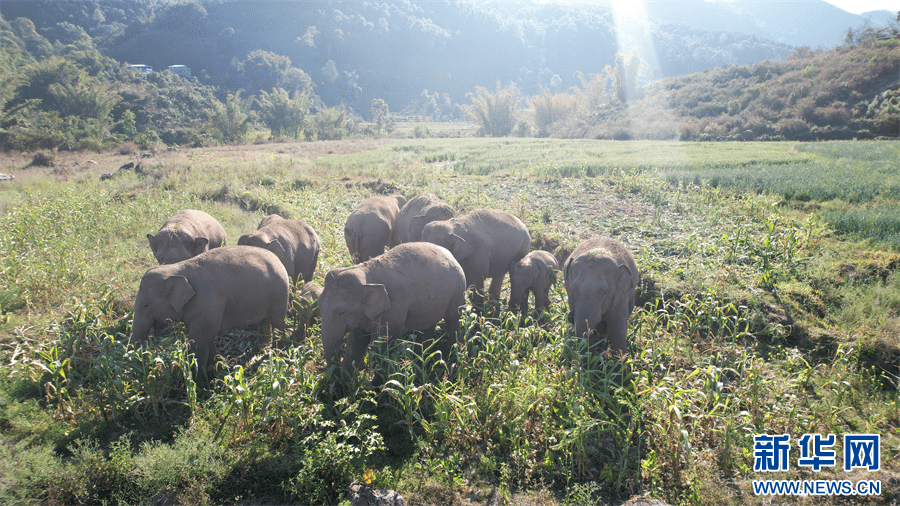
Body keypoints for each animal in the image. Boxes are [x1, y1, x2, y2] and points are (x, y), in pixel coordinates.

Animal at [130, 245, 290, 380]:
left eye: (145, 305)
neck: (176, 269)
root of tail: (278, 260)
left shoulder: (207, 303)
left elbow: (198, 340)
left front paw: (198, 380)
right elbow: (207, 337)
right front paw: (216, 366)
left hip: (280, 293)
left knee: (277, 321)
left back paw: (278, 352)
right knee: (264, 322)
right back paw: (261, 348)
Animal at [316, 243, 468, 370]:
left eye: (341, 312)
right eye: (319, 306)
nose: (334, 366)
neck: (365, 272)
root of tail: (451, 255)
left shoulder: (394, 309)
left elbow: (381, 344)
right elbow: (356, 341)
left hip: (458, 290)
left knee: (453, 319)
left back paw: (453, 354)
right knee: (427, 326)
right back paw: (422, 360)